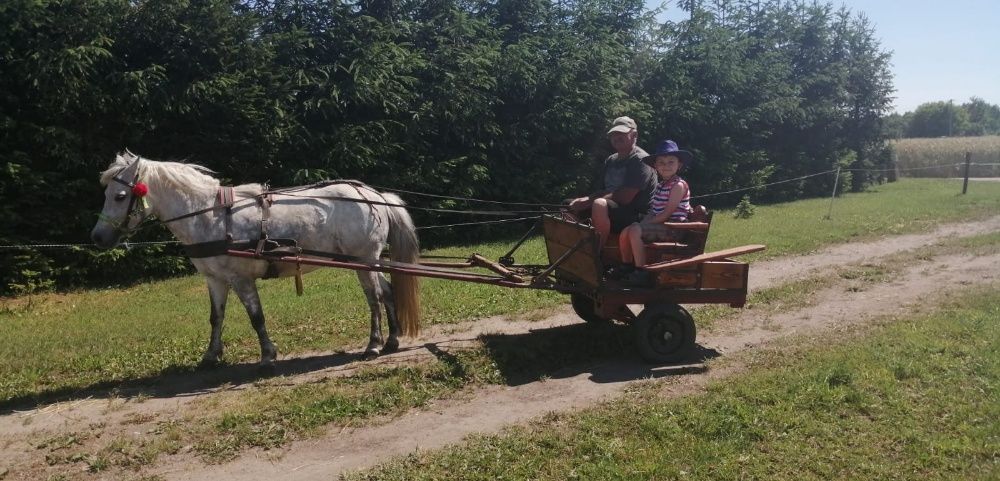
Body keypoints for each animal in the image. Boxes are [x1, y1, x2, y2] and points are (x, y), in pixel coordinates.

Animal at [92, 151, 420, 368]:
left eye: (120, 196)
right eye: (106, 194)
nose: (97, 238)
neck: (209, 216)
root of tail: (374, 195)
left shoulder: (241, 279)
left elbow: (256, 316)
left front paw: (267, 355)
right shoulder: (215, 279)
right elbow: (216, 317)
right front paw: (211, 356)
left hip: (364, 260)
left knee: (374, 298)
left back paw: (373, 344)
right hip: (371, 261)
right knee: (387, 292)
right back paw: (391, 340)